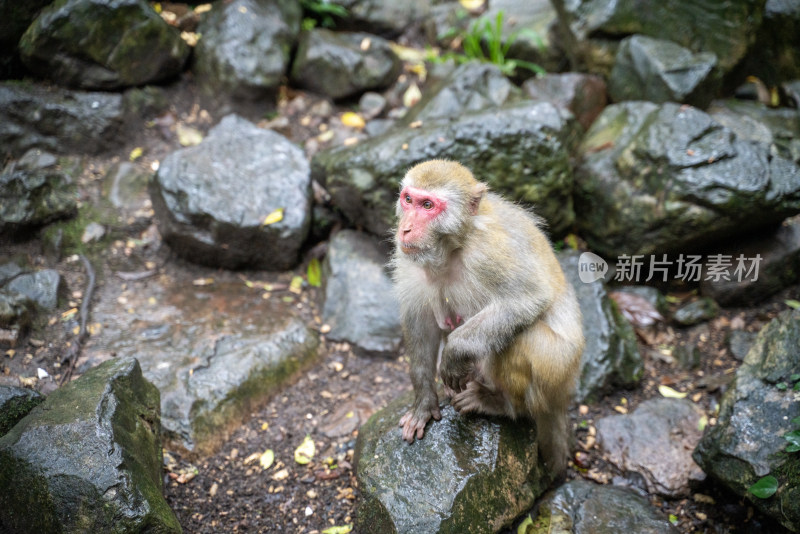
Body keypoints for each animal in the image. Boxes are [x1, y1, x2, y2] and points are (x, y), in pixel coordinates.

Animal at [392, 160, 584, 478]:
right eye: (408, 199)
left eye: (428, 205)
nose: (405, 229)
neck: (453, 247)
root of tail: (562, 394)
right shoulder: (410, 259)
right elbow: (422, 322)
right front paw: (424, 401)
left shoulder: (488, 253)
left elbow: (527, 298)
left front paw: (454, 353)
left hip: (556, 370)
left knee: (521, 336)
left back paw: (500, 404)